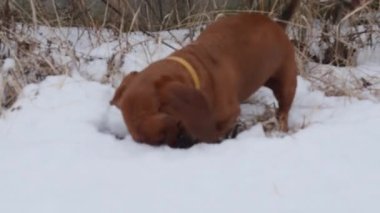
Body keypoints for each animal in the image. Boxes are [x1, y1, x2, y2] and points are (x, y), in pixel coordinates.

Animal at [110, 0, 300, 148]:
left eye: (172, 127)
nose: (182, 145)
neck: (197, 70)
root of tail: (277, 24)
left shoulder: (227, 116)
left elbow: (214, 132)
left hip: (286, 84)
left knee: (283, 111)